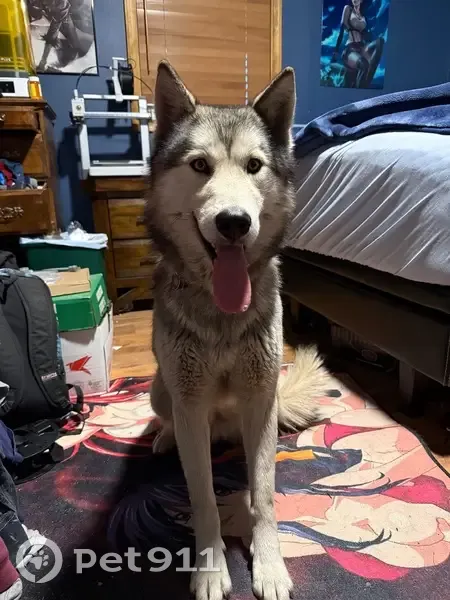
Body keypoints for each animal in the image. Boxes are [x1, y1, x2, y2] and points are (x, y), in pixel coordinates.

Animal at [146, 61, 333, 600]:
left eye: (254, 166)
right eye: (199, 166)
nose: (234, 222)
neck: (222, 314)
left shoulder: (259, 398)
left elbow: (264, 496)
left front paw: (268, 563)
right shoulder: (189, 403)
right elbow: (203, 499)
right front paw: (210, 567)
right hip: (162, 389)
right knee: (171, 424)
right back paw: (162, 439)